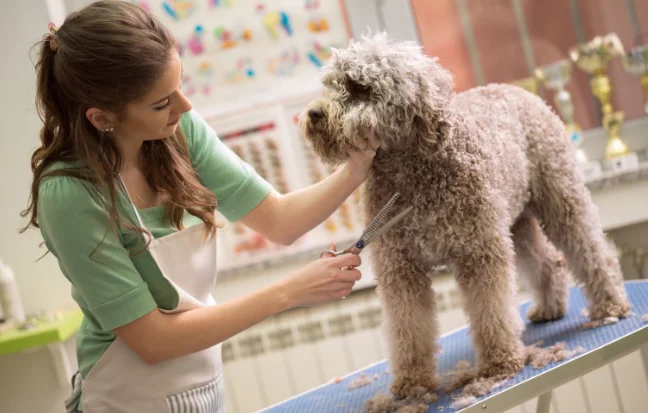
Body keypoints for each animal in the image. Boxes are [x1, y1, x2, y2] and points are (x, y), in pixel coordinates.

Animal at [298, 33, 628, 400]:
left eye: (358, 86)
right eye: (329, 84)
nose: (313, 113)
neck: (412, 176)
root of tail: (514, 89)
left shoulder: (479, 252)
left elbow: (490, 310)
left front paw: (499, 362)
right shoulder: (400, 268)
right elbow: (408, 327)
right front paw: (412, 381)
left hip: (560, 201)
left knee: (591, 251)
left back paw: (610, 305)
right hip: (514, 224)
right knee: (548, 261)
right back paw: (550, 307)